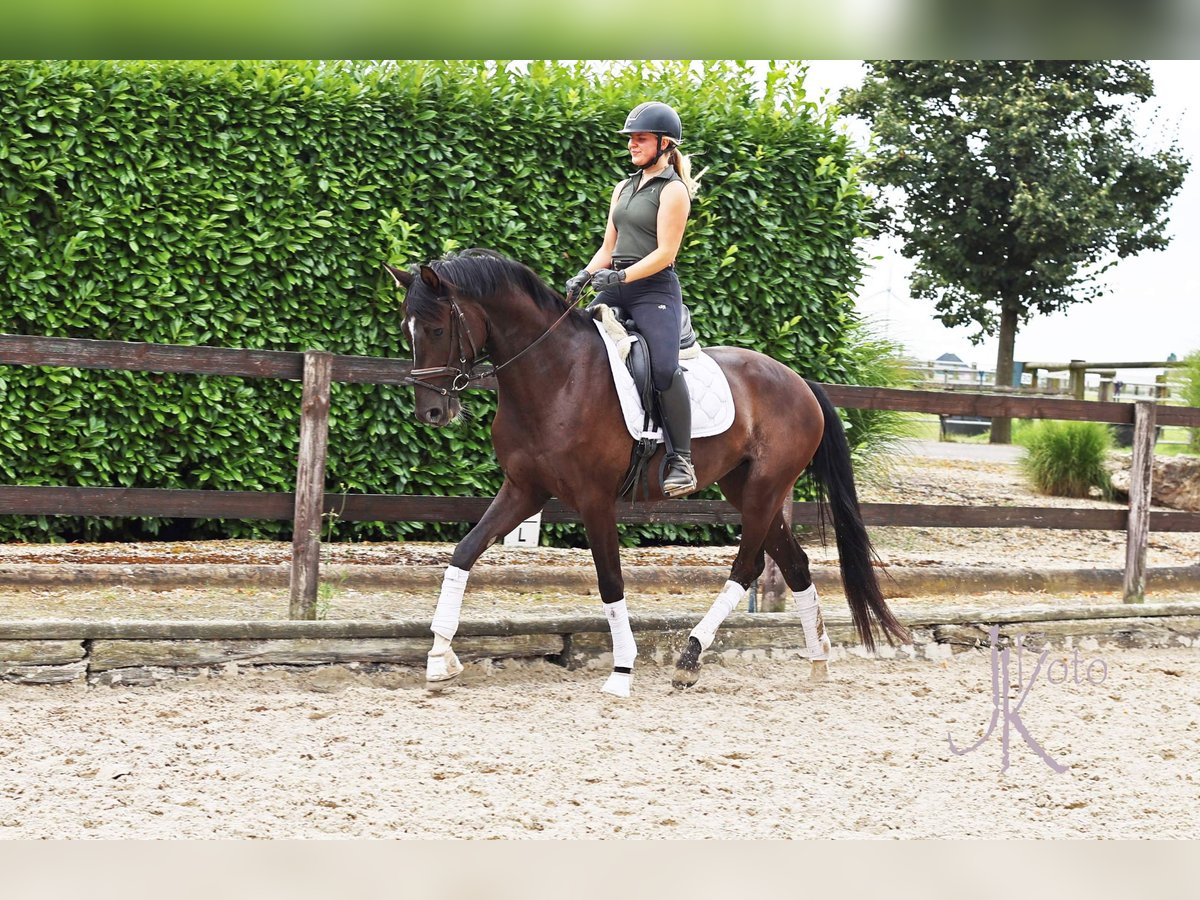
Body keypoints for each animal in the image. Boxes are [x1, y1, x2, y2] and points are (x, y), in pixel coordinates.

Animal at [384, 250, 907, 700]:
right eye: (408, 331)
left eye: (436, 328)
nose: (432, 412)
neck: (555, 375)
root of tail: (800, 381)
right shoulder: (524, 491)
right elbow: (464, 552)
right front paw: (439, 658)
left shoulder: (594, 500)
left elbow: (610, 581)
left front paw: (621, 672)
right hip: (744, 488)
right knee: (794, 565)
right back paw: (818, 661)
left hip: (765, 489)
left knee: (747, 567)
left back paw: (690, 660)